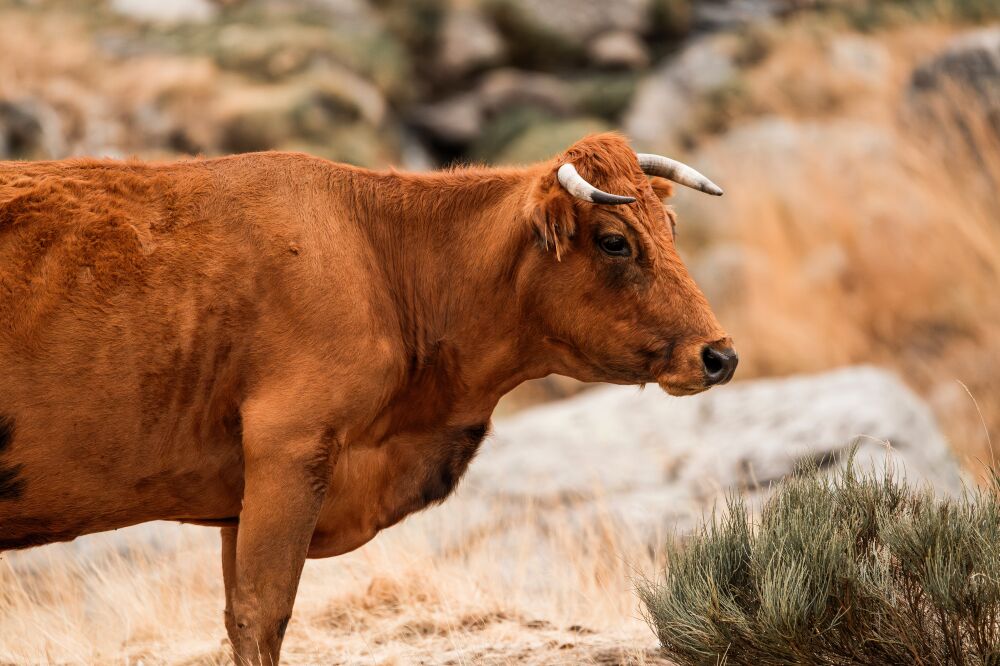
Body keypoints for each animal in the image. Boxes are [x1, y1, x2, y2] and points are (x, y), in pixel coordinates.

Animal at [0, 132, 736, 660]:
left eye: (671, 227)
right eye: (615, 242)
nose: (720, 355)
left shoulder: (243, 494)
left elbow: (241, 617)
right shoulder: (289, 452)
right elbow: (263, 615)